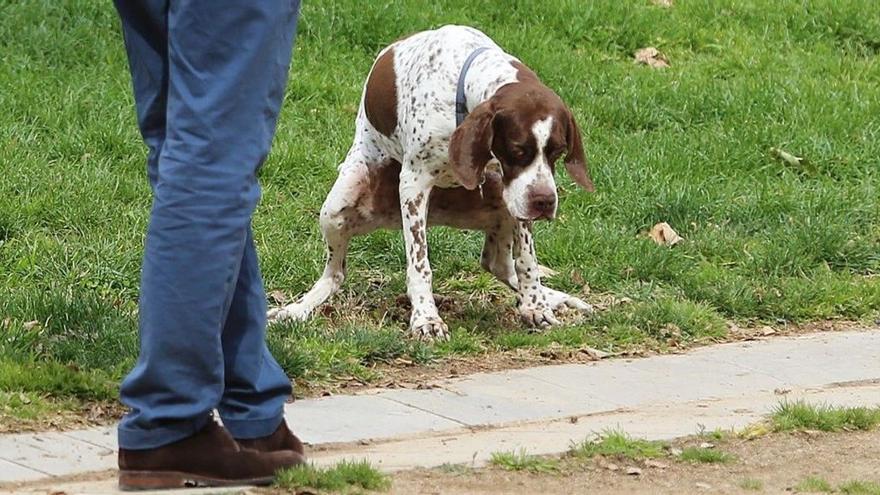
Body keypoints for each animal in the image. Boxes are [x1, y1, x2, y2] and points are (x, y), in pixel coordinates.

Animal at [268, 24, 596, 340]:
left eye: (558, 152)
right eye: (518, 150)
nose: (545, 202)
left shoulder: (517, 192)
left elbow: (527, 261)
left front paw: (536, 305)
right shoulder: (414, 184)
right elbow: (419, 265)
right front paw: (426, 319)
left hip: (500, 197)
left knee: (499, 264)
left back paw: (552, 296)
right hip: (337, 207)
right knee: (334, 275)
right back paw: (297, 310)